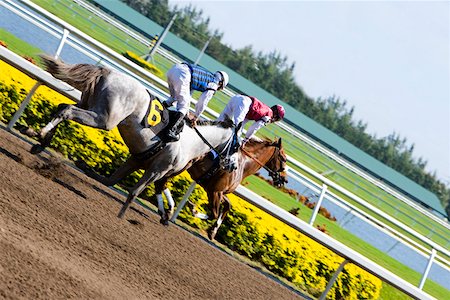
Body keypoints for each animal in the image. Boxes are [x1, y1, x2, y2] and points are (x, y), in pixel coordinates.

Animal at [27, 56, 236, 219]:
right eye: (235, 148)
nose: (232, 166)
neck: (190, 143)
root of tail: (107, 72)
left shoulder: (136, 160)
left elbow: (109, 180)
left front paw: (84, 167)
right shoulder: (157, 170)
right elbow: (134, 192)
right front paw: (121, 217)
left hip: (87, 104)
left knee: (63, 107)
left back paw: (40, 141)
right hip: (103, 119)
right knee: (68, 111)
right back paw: (40, 134)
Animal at [156, 137, 286, 240]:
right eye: (283, 158)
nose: (283, 180)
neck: (242, 165)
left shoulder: (219, 192)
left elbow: (227, 206)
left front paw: (213, 231)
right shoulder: (214, 192)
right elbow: (214, 213)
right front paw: (194, 209)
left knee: (160, 183)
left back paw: (165, 211)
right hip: (181, 166)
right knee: (161, 183)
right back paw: (168, 211)